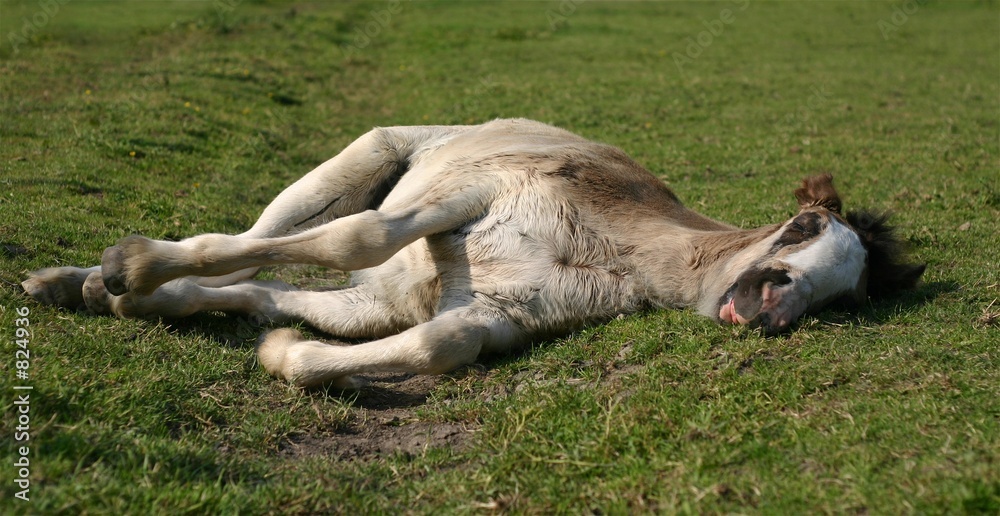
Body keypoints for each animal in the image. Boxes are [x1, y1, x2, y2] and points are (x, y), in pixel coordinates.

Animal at [22, 118, 925, 388]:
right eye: (803, 228)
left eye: (847, 296)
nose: (773, 304)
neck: (625, 250)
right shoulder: (475, 195)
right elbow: (359, 234)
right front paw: (126, 268)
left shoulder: (496, 316)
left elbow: (441, 344)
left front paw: (284, 355)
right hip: (368, 157)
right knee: (246, 246)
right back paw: (106, 270)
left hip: (367, 288)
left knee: (254, 284)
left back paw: (99, 293)